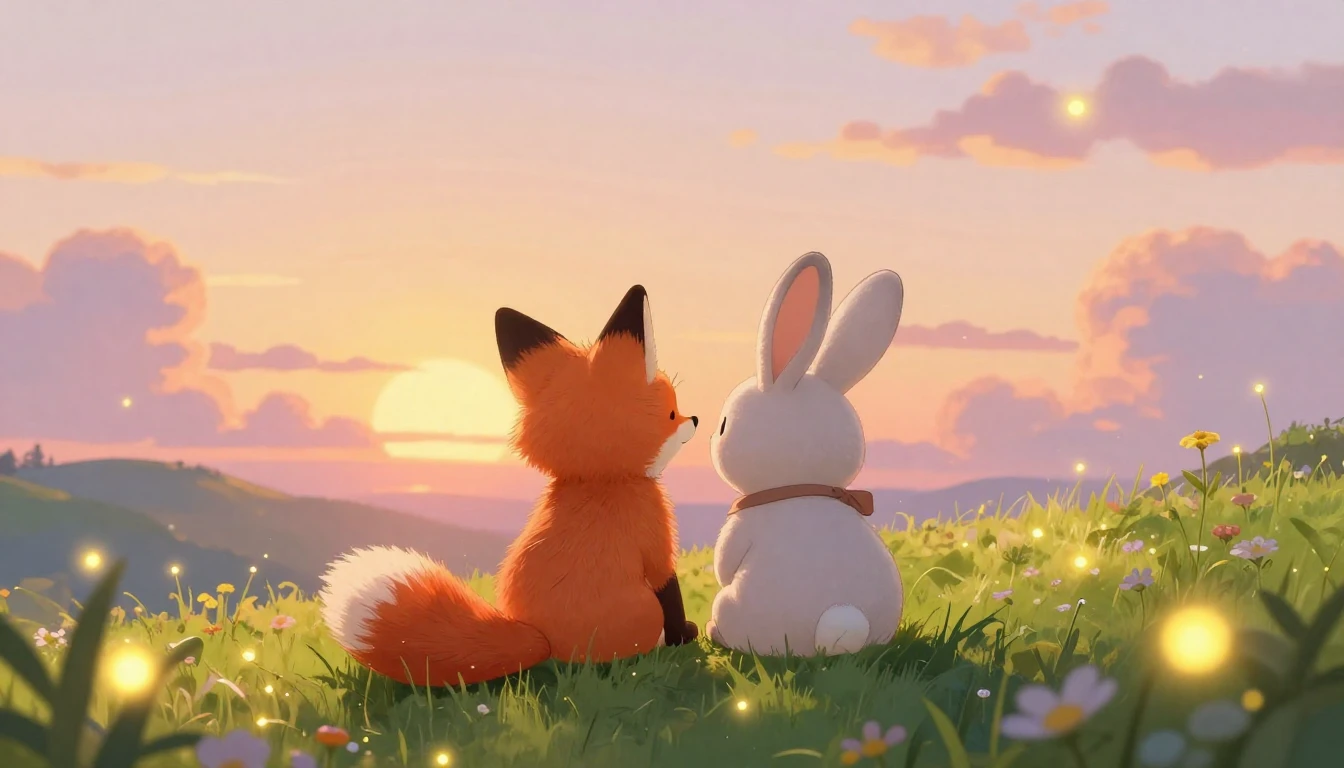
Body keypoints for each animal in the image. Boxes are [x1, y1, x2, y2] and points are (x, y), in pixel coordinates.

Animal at [318, 285, 700, 686]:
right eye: (671, 413)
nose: (695, 419)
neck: (601, 481)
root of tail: (542, 641)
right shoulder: (655, 547)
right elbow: (671, 595)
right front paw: (685, 634)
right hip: (640, 617)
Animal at [706, 251, 905, 656]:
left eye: (723, 425)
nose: (708, 438)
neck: (803, 485)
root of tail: (841, 621)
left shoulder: (740, 530)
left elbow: (724, 562)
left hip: (734, 608)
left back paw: (713, 632)